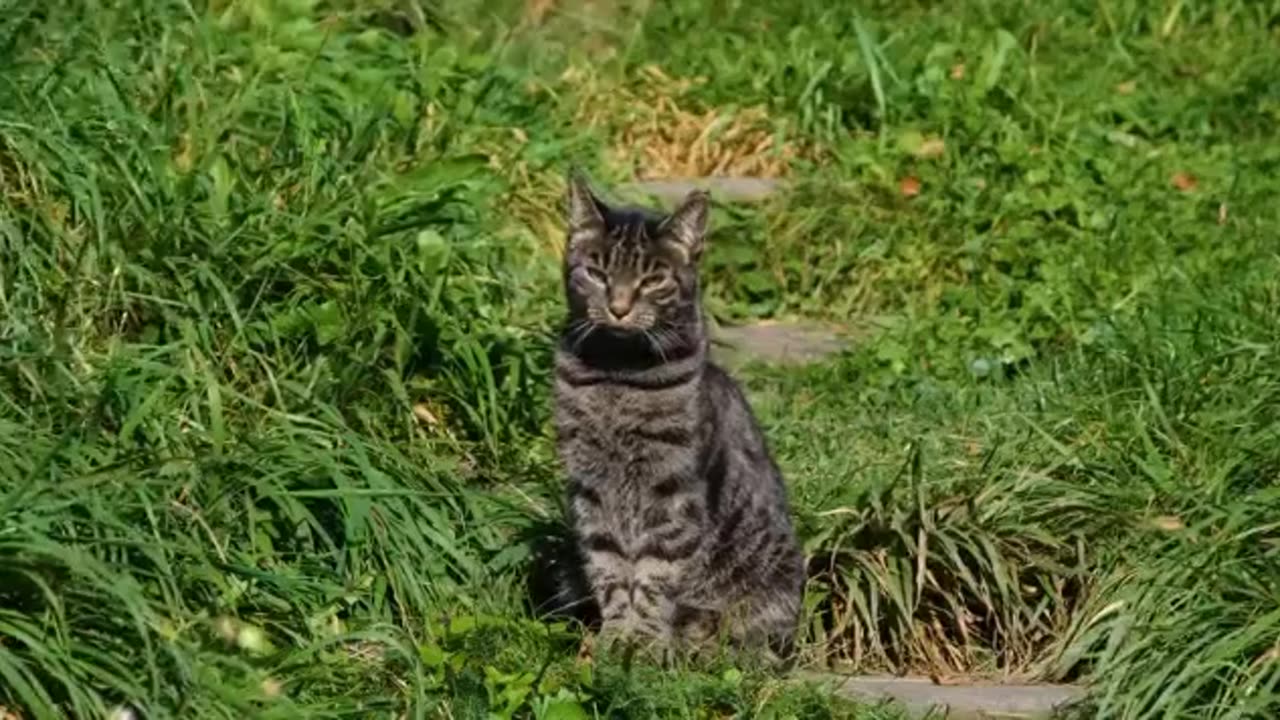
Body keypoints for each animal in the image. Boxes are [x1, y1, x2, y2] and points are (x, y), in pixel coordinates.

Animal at [547, 169, 798, 661]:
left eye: (651, 281)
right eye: (597, 273)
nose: (619, 307)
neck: (617, 373)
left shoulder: (673, 492)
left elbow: (655, 575)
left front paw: (644, 641)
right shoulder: (590, 489)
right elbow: (609, 568)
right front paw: (616, 636)